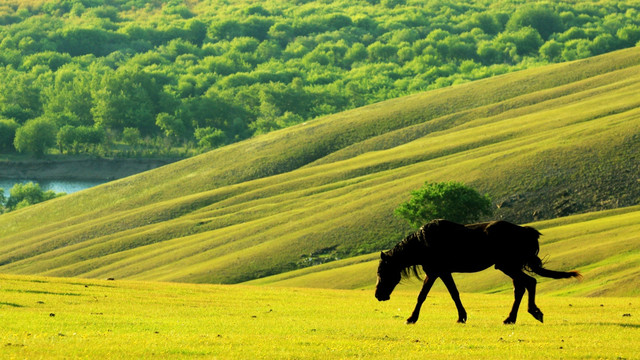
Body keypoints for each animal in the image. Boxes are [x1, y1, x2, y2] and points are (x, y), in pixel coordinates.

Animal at [376, 218, 580, 324]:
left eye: (382, 272)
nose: (378, 295)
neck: (423, 243)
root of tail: (525, 231)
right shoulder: (438, 272)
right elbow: (450, 294)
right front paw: (461, 316)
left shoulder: (438, 271)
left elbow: (426, 295)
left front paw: (411, 318)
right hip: (510, 267)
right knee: (521, 288)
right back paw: (510, 318)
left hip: (507, 266)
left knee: (529, 283)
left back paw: (534, 312)